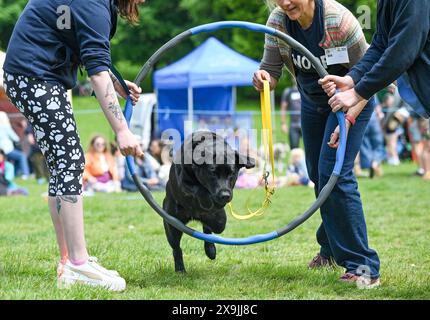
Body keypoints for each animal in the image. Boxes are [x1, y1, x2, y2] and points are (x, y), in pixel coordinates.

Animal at [163, 131, 254, 272]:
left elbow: (219, 222)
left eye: (232, 173)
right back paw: (180, 269)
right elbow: (199, 189)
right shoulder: (183, 182)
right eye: (212, 172)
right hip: (171, 223)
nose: (225, 195)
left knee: (209, 230)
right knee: (176, 248)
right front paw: (210, 202)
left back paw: (211, 249)